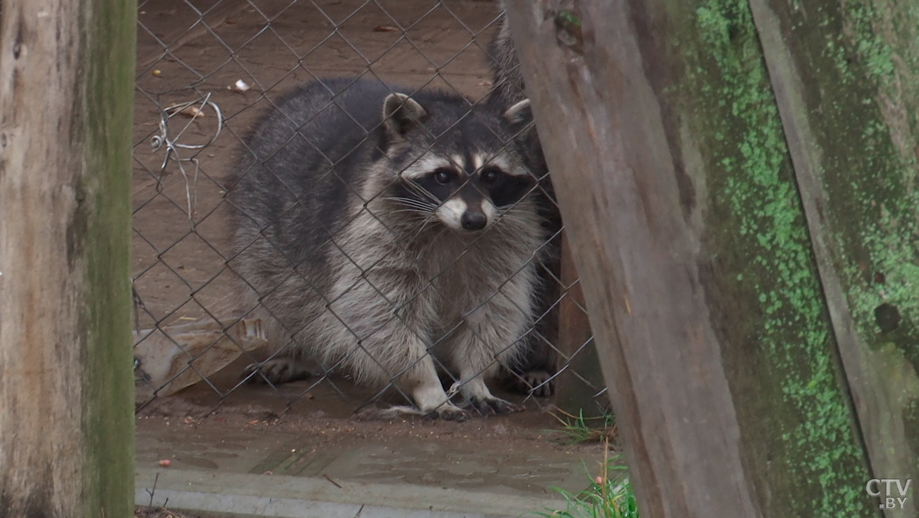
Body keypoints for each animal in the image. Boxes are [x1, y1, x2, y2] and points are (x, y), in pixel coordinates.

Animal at [230, 77, 548, 422]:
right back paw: (299, 352)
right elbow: (380, 313)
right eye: (443, 176)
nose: (475, 220)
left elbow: (495, 307)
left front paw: (474, 376)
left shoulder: (505, 238)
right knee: (287, 294)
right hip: (263, 225)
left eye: (491, 175)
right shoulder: (372, 230)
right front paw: (426, 384)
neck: (448, 229)